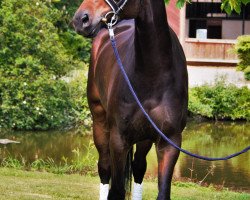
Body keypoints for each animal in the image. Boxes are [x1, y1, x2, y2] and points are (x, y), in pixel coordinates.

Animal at [72, 0, 188, 199]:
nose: (81, 19)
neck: (153, 74)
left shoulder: (170, 142)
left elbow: (162, 191)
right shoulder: (119, 140)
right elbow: (116, 190)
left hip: (144, 138)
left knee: (138, 167)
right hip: (100, 123)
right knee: (104, 168)